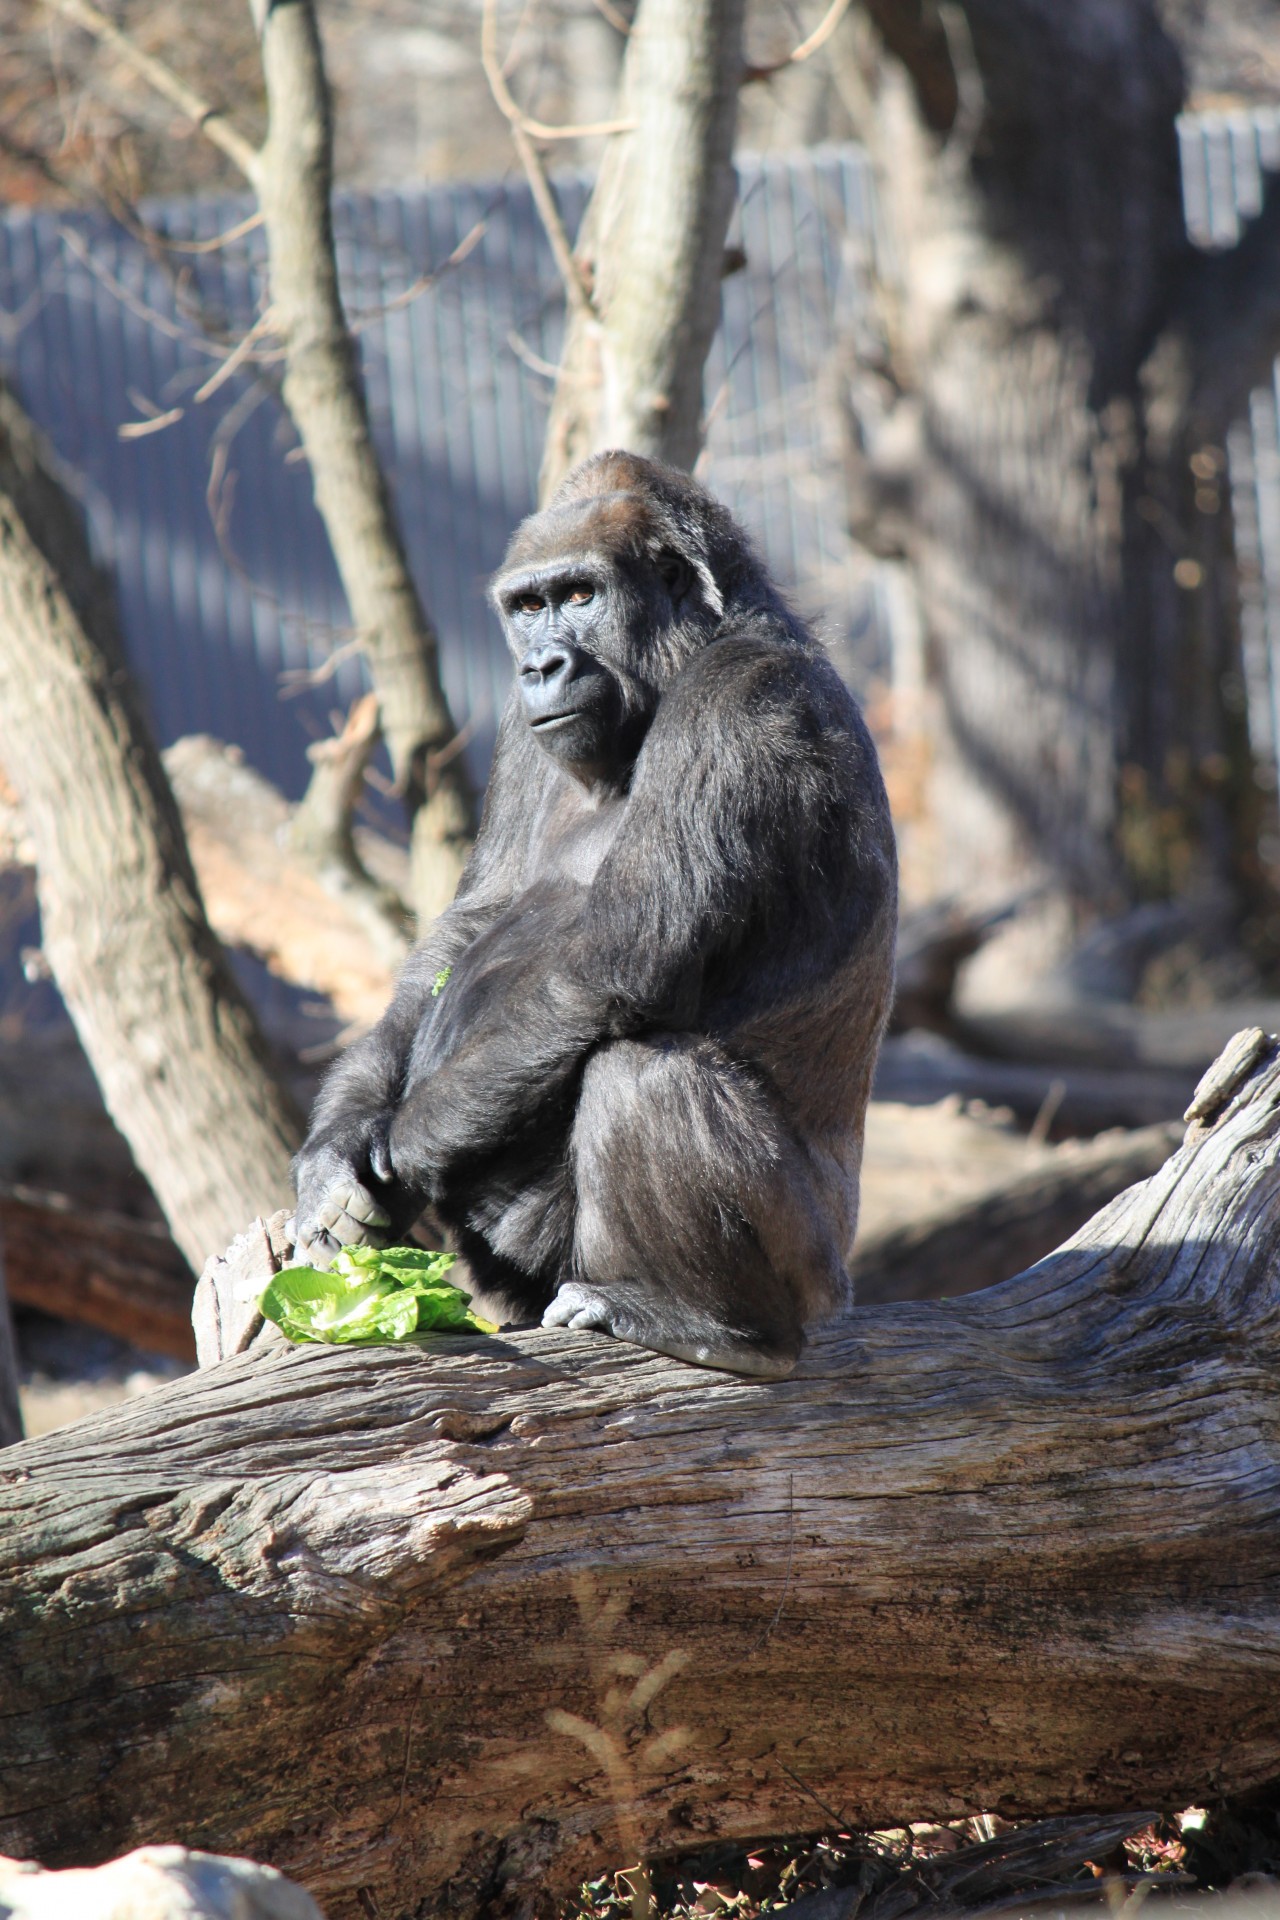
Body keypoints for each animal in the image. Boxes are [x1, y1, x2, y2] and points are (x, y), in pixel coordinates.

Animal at [295, 449, 901, 1382]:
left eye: (581, 594)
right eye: (528, 606)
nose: (541, 664)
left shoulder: (740, 703)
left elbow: (619, 959)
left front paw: (398, 1155)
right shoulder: (521, 728)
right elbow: (470, 921)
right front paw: (338, 1140)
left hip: (815, 1276)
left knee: (638, 1072)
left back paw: (720, 1329)